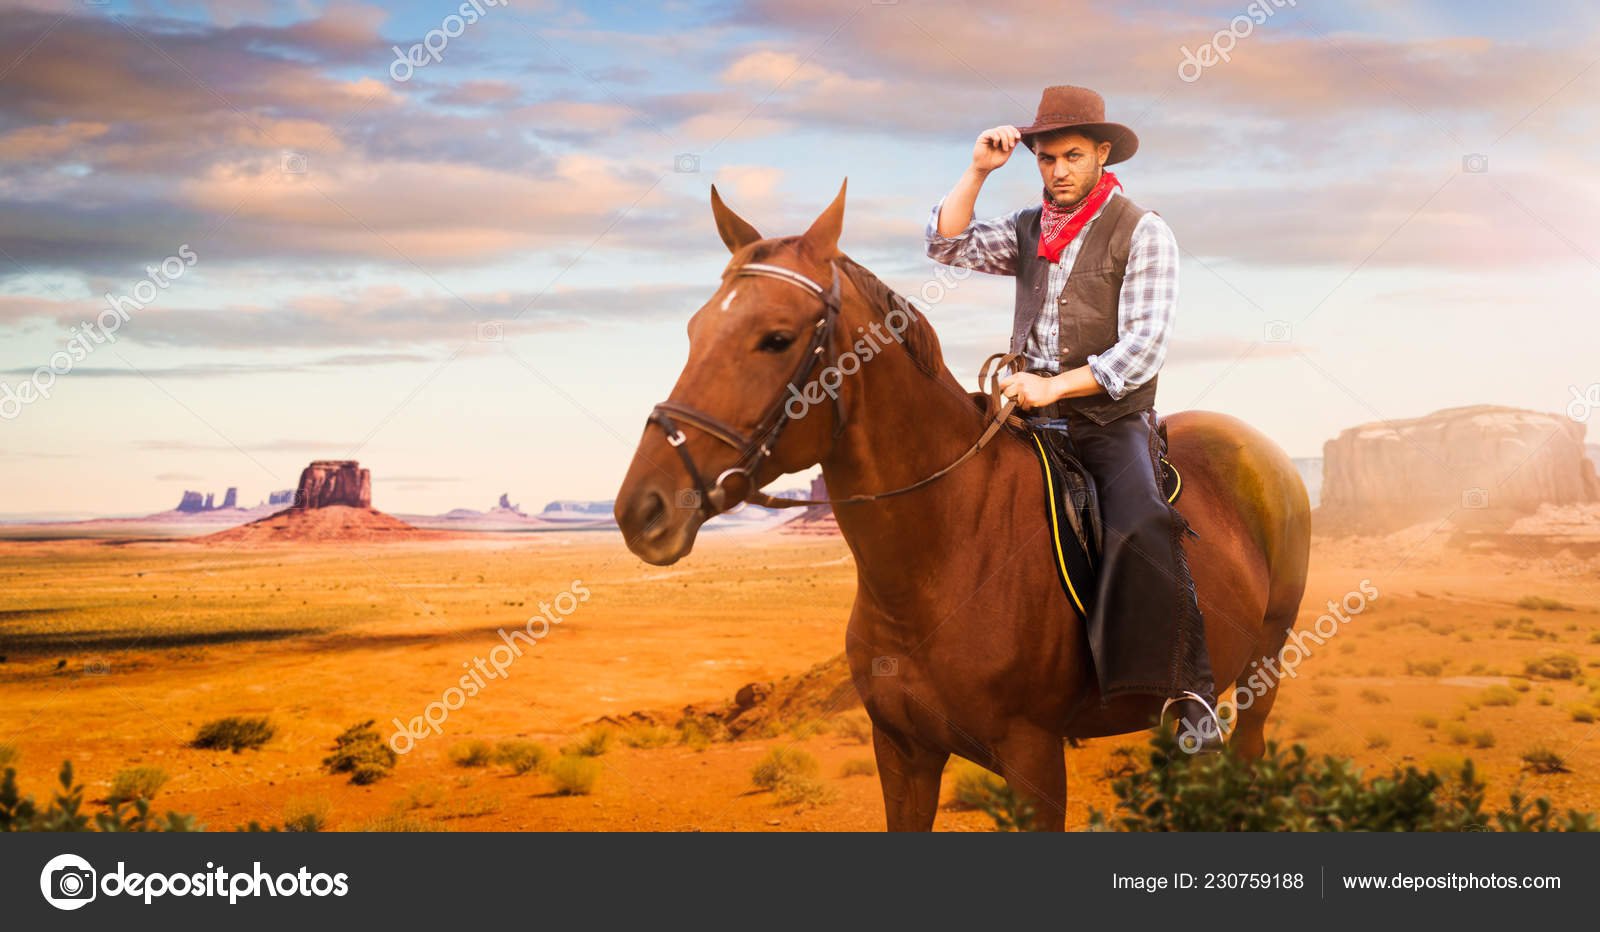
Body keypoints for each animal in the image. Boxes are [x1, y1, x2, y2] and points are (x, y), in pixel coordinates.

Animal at [614, 180, 1312, 831]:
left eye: (777, 338)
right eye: (695, 329)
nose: (641, 509)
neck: (946, 551)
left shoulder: (1034, 762)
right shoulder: (903, 753)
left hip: (1262, 671)